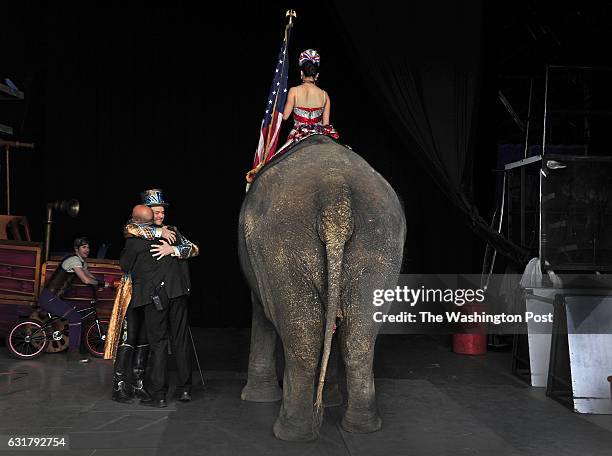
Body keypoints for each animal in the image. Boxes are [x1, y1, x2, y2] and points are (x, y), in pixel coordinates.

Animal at [239, 134, 406, 440]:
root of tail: (335, 193)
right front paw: (328, 403)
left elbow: (261, 309)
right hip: (381, 241)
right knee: (360, 334)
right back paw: (361, 427)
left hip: (282, 241)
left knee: (304, 336)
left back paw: (291, 432)